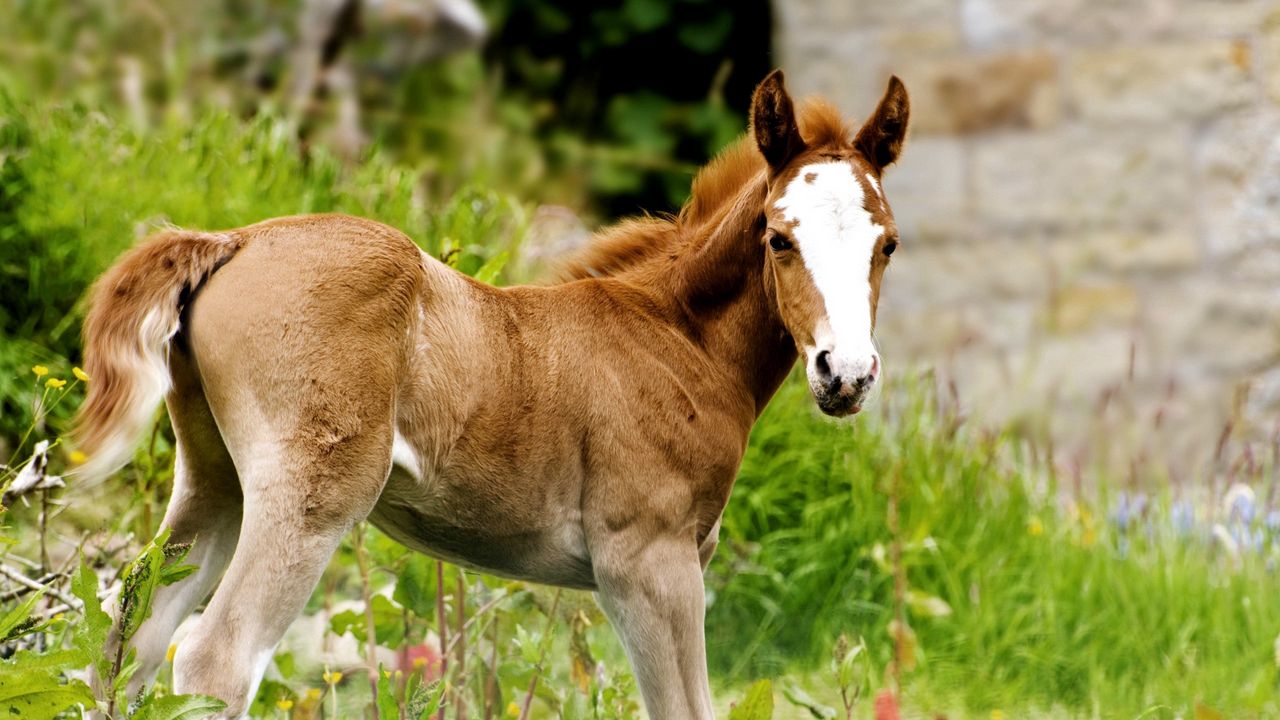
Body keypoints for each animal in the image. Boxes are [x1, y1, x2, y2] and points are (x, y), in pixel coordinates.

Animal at [72, 68, 911, 717]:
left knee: (129, 636)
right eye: (779, 237)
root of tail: (235, 240)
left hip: (213, 478)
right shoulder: (648, 563)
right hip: (312, 493)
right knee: (214, 659)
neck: (677, 338)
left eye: (888, 244)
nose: (845, 374)